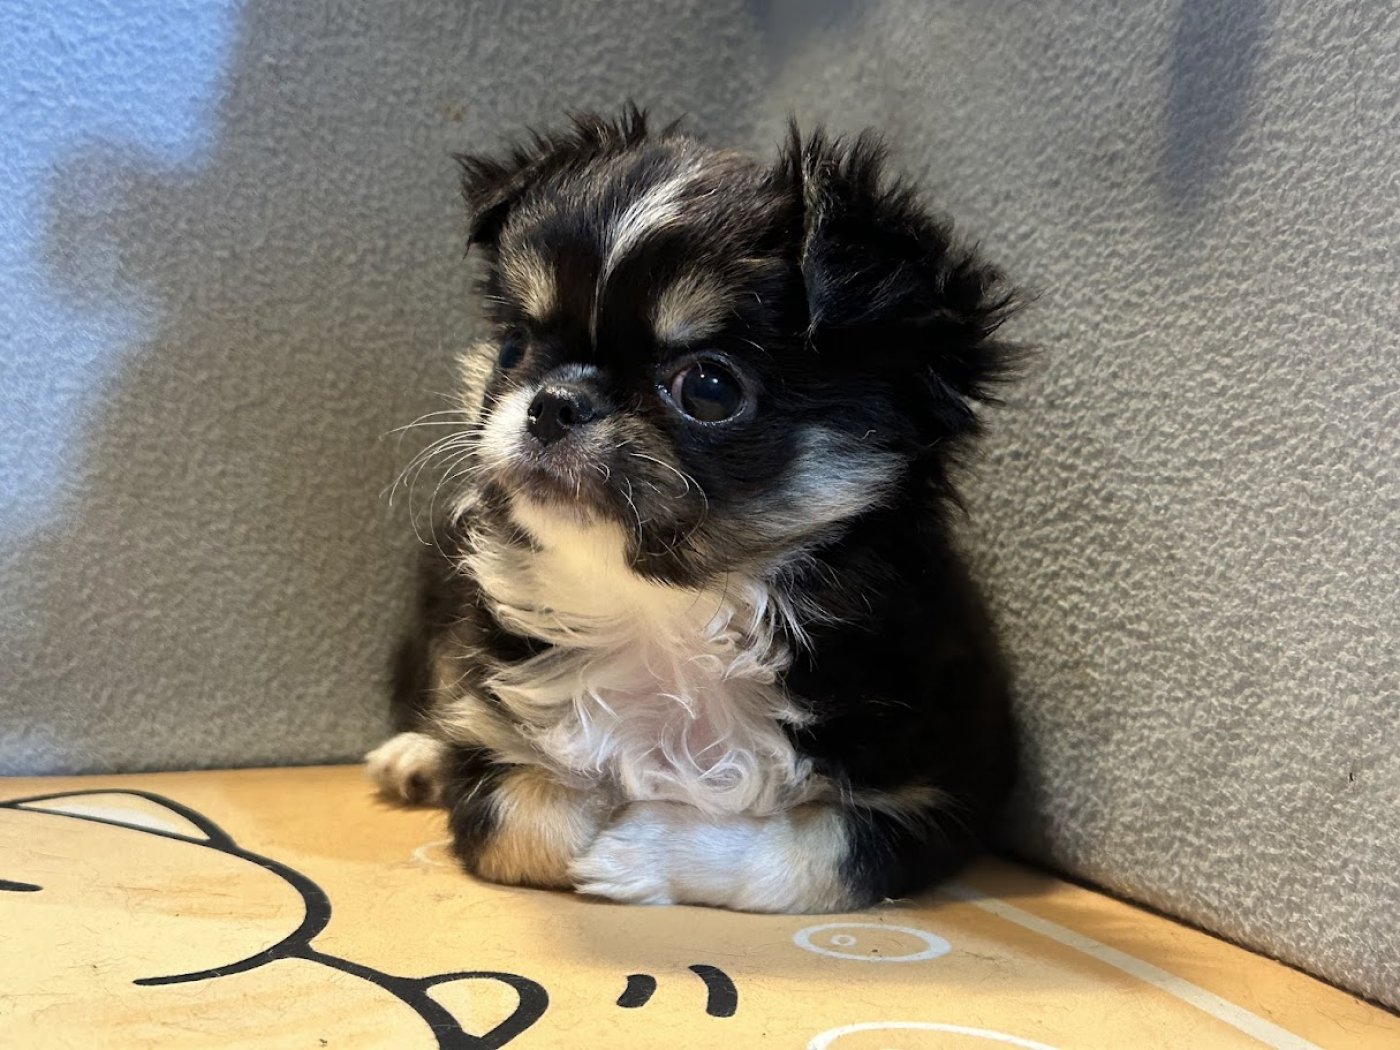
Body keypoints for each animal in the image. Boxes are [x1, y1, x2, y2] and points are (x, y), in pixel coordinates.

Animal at [367, 106, 1019, 913]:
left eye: (709, 388)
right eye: (514, 347)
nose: (553, 402)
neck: (666, 613)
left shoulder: (935, 795)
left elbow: (804, 854)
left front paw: (640, 849)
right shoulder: (490, 750)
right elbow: (527, 817)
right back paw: (413, 753)